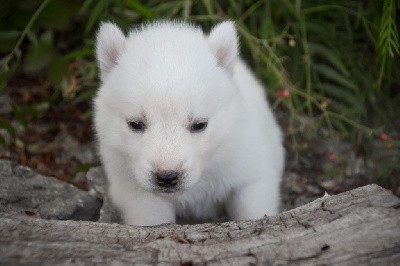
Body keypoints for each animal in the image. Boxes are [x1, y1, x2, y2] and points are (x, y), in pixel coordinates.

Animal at [94, 20, 284, 225]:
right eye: (135, 124)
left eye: (199, 125)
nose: (167, 176)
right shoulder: (137, 192)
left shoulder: (250, 171)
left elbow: (252, 207)